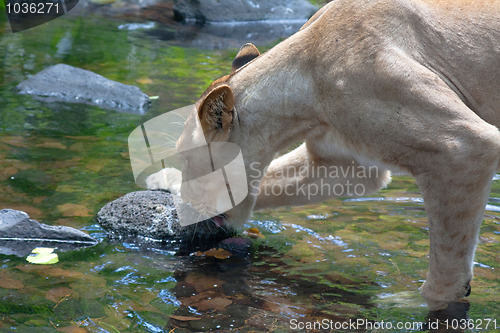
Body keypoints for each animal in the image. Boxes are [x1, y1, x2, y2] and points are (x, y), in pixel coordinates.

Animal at [146, 0, 500, 308]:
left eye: (188, 159)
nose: (188, 212)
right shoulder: (345, 164)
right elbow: (272, 182)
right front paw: (165, 183)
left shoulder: (461, 146)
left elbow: (448, 260)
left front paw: (413, 304)